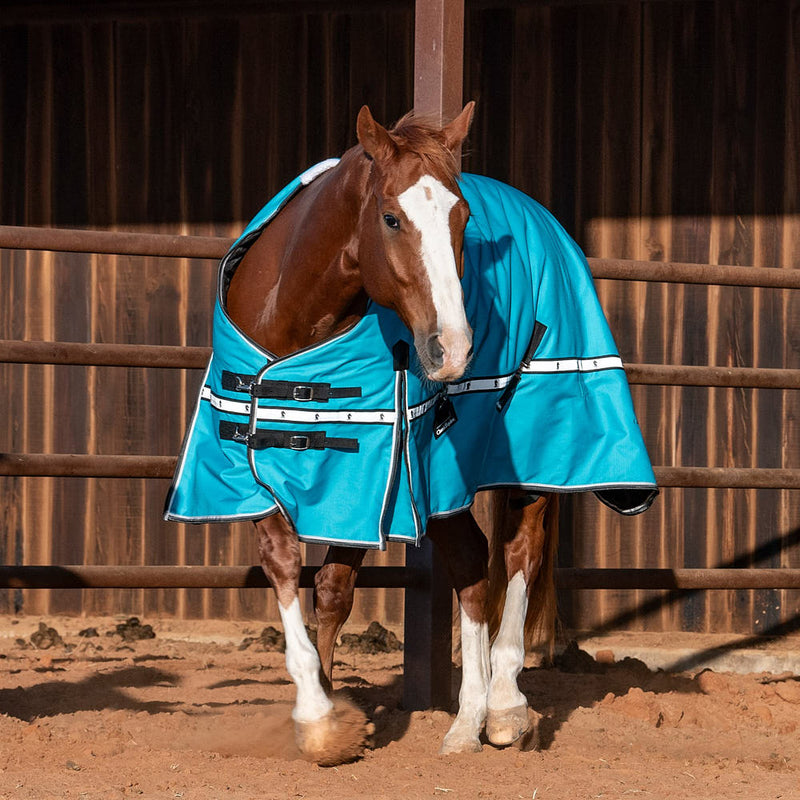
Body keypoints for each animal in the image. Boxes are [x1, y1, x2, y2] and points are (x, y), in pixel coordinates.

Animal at [224, 103, 558, 762]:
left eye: (463, 217)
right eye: (391, 217)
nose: (453, 348)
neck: (294, 321)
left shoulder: (371, 466)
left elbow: (334, 586)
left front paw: (322, 713)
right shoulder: (250, 460)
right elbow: (299, 572)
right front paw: (324, 709)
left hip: (526, 460)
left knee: (516, 554)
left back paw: (502, 707)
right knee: (472, 566)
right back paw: (468, 719)